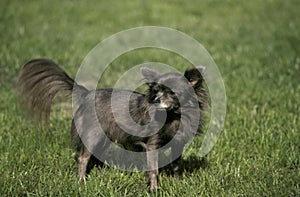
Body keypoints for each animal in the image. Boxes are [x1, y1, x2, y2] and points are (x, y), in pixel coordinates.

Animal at [17, 58, 207, 191]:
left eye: (172, 93)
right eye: (155, 91)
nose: (155, 100)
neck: (174, 116)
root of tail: (87, 94)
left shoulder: (178, 145)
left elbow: (176, 166)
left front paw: (179, 184)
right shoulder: (152, 145)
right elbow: (153, 170)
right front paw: (154, 189)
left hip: (103, 138)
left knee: (97, 159)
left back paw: (100, 178)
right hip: (92, 136)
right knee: (83, 158)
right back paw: (82, 182)